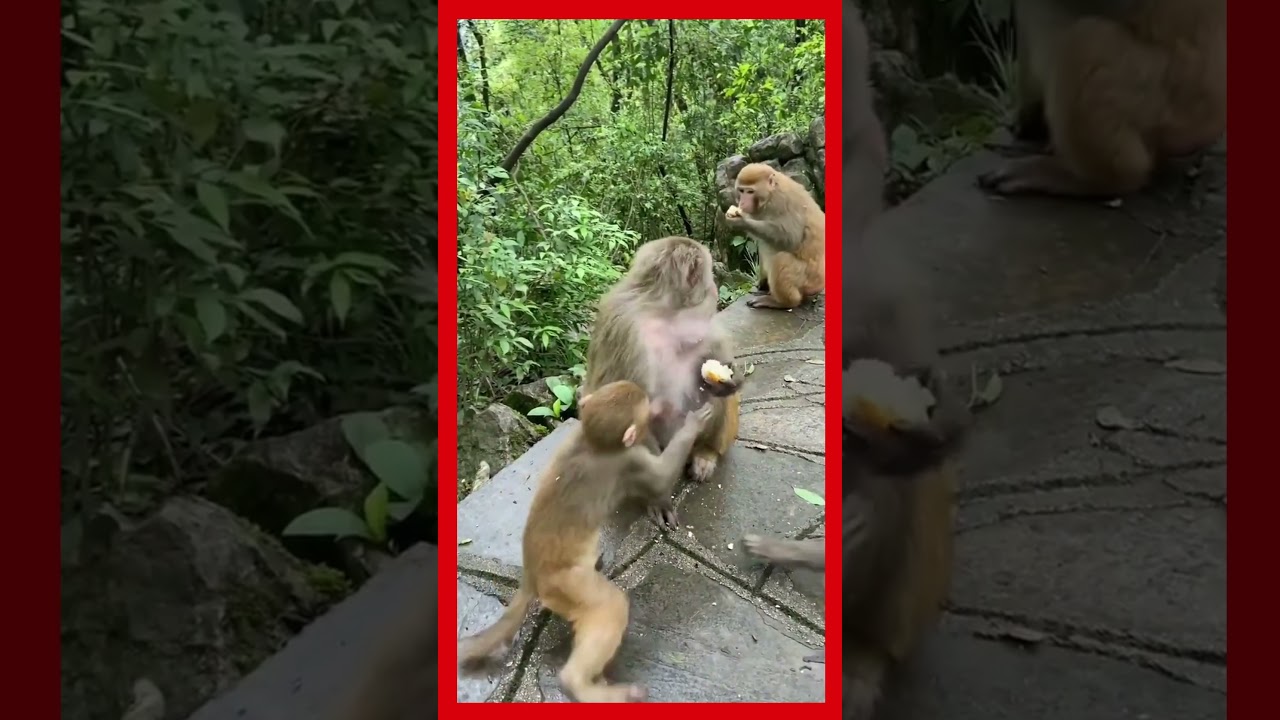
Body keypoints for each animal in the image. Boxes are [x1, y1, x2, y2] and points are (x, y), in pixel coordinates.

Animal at [458, 381, 715, 703]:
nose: (653, 404)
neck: (592, 443)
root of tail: (531, 575)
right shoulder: (629, 460)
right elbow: (660, 478)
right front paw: (694, 423)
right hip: (567, 585)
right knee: (610, 605)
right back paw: (579, 685)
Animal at [582, 236, 744, 528]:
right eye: (709, 277)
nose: (715, 289)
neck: (664, 311)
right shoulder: (625, 328)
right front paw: (657, 498)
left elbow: (713, 353)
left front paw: (730, 376)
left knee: (718, 399)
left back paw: (707, 452)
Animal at [723, 163, 826, 311]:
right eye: (741, 191)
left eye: (750, 192)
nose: (742, 203)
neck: (769, 195)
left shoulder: (781, 201)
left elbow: (791, 238)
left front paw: (741, 221)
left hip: (808, 280)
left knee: (781, 259)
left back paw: (782, 302)